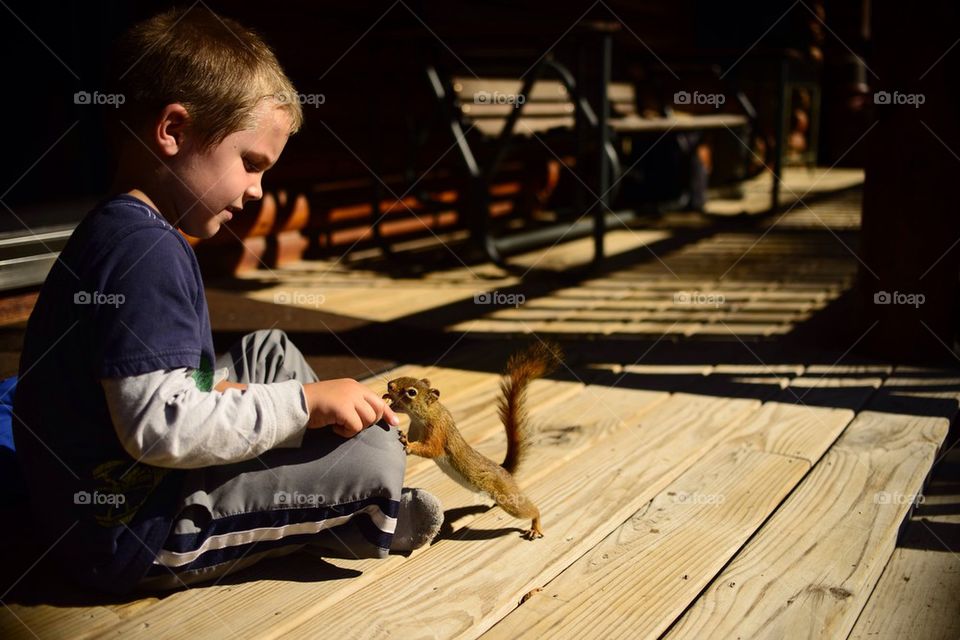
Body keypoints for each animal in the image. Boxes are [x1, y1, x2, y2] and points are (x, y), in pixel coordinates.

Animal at [382, 342, 561, 540]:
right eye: (404, 378)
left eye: (411, 392)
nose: (390, 384)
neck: (424, 416)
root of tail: (505, 472)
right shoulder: (416, 428)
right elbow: (415, 438)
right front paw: (401, 432)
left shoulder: (438, 431)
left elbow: (431, 449)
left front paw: (408, 445)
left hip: (507, 496)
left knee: (529, 510)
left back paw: (535, 525)